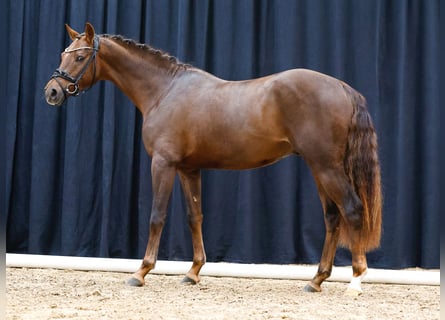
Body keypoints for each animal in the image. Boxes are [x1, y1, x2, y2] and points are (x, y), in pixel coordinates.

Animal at [43, 22, 380, 296]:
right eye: (63, 54)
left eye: (80, 57)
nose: (52, 92)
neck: (165, 91)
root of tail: (343, 88)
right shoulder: (189, 169)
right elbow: (195, 217)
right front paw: (193, 273)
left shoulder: (163, 164)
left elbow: (157, 216)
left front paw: (141, 272)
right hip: (318, 167)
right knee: (333, 218)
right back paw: (316, 280)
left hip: (326, 167)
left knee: (352, 210)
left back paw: (355, 280)